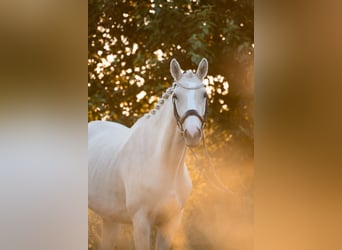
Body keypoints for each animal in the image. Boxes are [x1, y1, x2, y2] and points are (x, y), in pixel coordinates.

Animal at [89, 57, 208, 249]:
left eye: (204, 95)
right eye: (176, 96)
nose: (192, 133)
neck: (162, 163)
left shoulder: (170, 223)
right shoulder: (141, 223)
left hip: (110, 218)